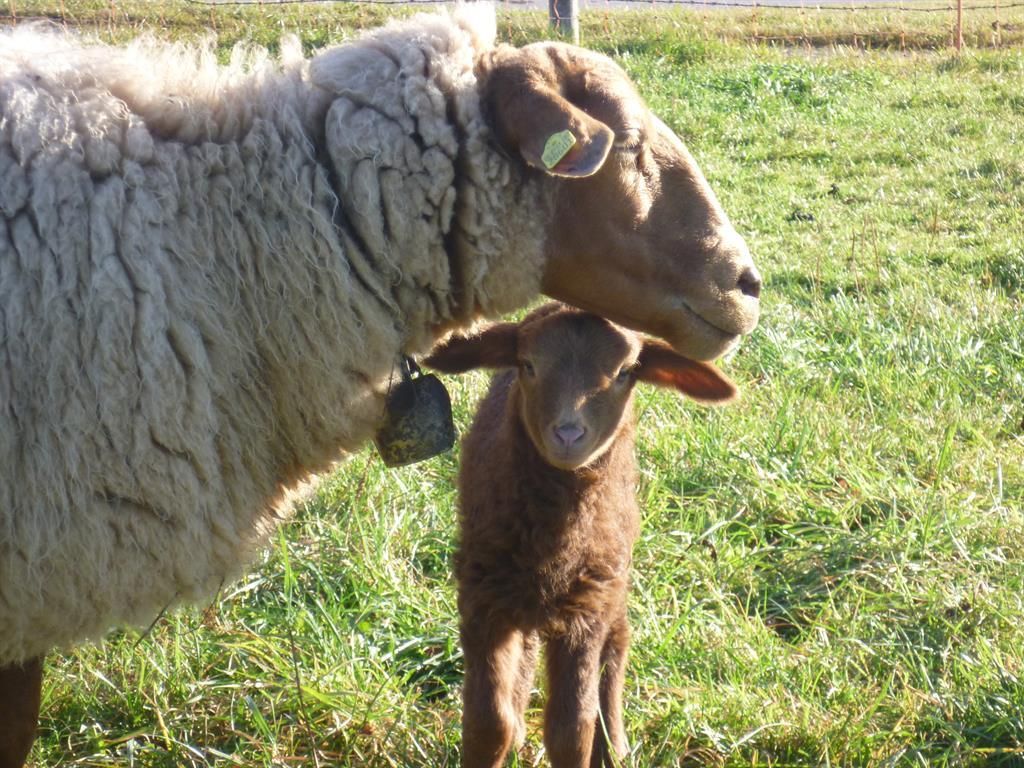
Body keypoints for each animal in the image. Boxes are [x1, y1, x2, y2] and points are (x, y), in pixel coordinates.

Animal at [424, 303, 738, 768]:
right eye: (528, 364)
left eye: (626, 372)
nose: (569, 434)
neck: (553, 542)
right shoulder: (483, 597)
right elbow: (487, 724)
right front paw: (502, 733)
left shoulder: (587, 607)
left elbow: (571, 730)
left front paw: (589, 741)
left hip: (612, 578)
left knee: (618, 642)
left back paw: (614, 745)